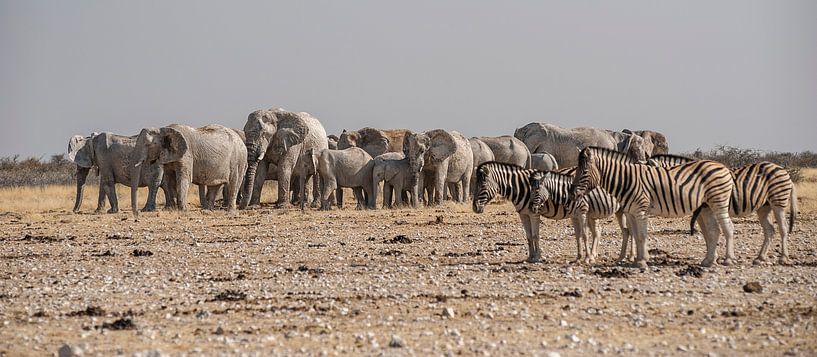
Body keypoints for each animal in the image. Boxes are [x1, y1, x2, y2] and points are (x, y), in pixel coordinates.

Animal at [468, 161, 628, 262]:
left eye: (482, 186)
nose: (474, 207)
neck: (521, 187)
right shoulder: (523, 214)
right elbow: (528, 236)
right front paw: (530, 256)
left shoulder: (534, 213)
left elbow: (535, 235)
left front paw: (537, 256)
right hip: (592, 213)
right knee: (598, 230)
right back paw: (594, 255)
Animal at [572, 145, 736, 268]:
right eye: (576, 170)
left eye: (584, 171)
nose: (573, 193)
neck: (625, 180)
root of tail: (723, 166)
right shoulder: (630, 212)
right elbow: (635, 235)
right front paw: (638, 259)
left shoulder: (640, 210)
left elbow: (642, 235)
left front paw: (642, 261)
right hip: (707, 206)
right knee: (714, 230)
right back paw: (708, 261)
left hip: (719, 202)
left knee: (728, 227)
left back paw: (728, 260)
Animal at [648, 154, 792, 264]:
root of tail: (781, 168)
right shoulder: (701, 213)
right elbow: (706, 233)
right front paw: (713, 256)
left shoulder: (704, 210)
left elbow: (710, 232)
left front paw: (714, 257)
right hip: (764, 206)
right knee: (770, 230)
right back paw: (760, 258)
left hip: (778, 201)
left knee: (783, 228)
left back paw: (783, 258)